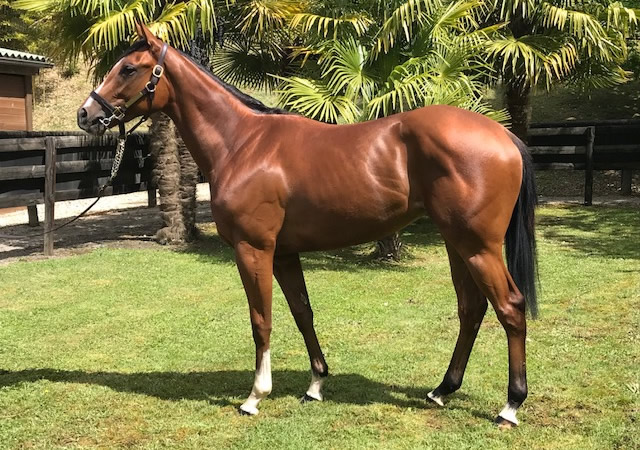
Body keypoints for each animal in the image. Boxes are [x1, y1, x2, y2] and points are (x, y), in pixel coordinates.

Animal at [77, 23, 538, 428]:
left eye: (129, 68)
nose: (86, 114)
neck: (242, 143)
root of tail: (504, 136)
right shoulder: (284, 253)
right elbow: (302, 312)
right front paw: (316, 384)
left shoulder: (253, 250)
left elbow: (261, 319)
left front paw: (255, 396)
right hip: (456, 243)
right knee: (471, 309)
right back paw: (442, 390)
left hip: (477, 246)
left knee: (510, 307)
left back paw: (510, 406)